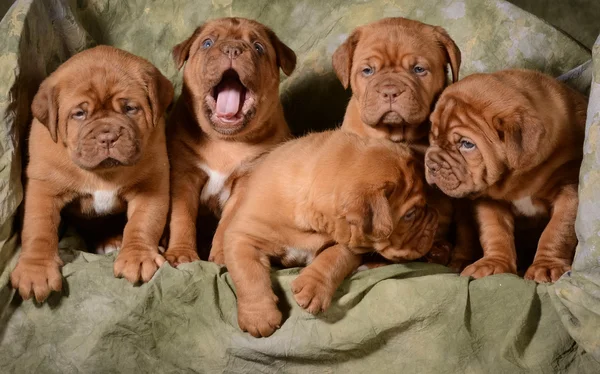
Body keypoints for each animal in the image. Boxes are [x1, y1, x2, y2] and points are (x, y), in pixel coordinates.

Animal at [10, 45, 175, 302]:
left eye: (130, 108)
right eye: (79, 114)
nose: (107, 136)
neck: (102, 173)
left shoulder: (151, 183)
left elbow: (144, 222)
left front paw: (138, 257)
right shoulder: (43, 188)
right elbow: (38, 228)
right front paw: (35, 271)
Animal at [163, 16, 296, 264]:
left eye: (258, 47)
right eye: (207, 43)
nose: (232, 49)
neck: (224, 142)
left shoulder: (246, 180)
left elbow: (228, 222)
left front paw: (225, 256)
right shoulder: (184, 176)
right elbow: (182, 217)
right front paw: (180, 254)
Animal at [218, 130, 438, 338]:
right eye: (410, 214)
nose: (435, 221)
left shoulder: (348, 244)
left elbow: (333, 258)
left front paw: (312, 288)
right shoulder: (243, 236)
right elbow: (249, 273)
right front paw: (259, 317)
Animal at [424, 68, 588, 282]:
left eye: (467, 144)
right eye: (433, 136)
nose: (431, 164)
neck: (519, 179)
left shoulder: (568, 189)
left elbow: (557, 231)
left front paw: (546, 266)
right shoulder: (488, 199)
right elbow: (495, 230)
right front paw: (494, 263)